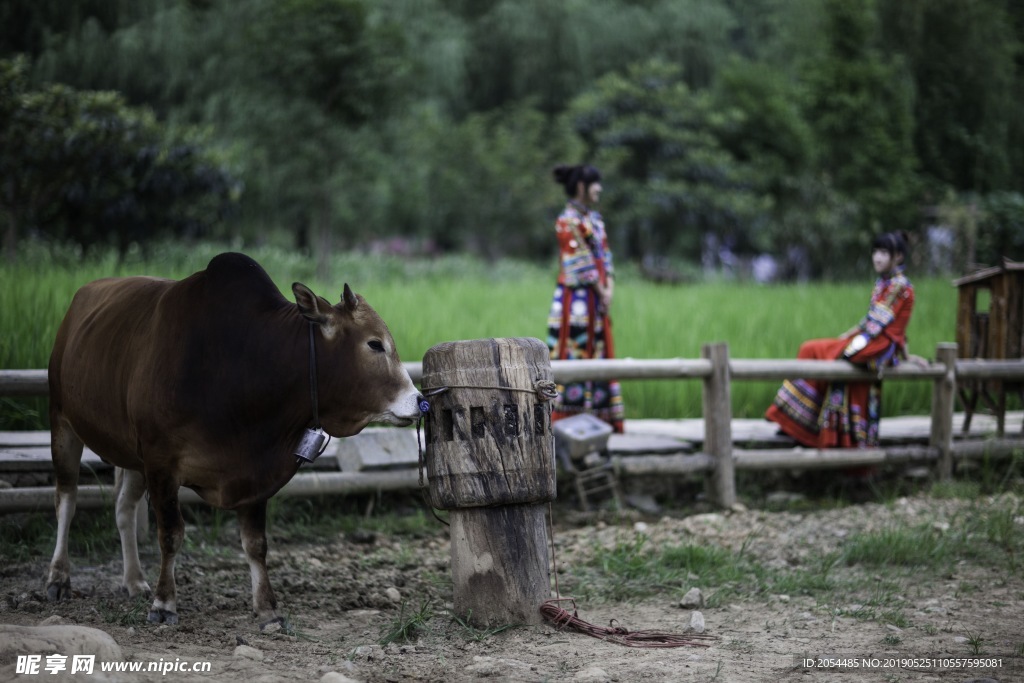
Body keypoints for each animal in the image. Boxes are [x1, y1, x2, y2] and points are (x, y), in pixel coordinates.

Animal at [46, 253, 421, 626]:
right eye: (374, 343)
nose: (419, 401)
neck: (243, 363)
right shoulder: (162, 463)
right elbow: (170, 534)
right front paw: (164, 603)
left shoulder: (253, 470)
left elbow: (256, 543)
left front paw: (267, 608)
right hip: (63, 423)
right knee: (67, 501)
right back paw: (58, 579)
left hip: (133, 458)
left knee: (123, 508)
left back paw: (134, 580)